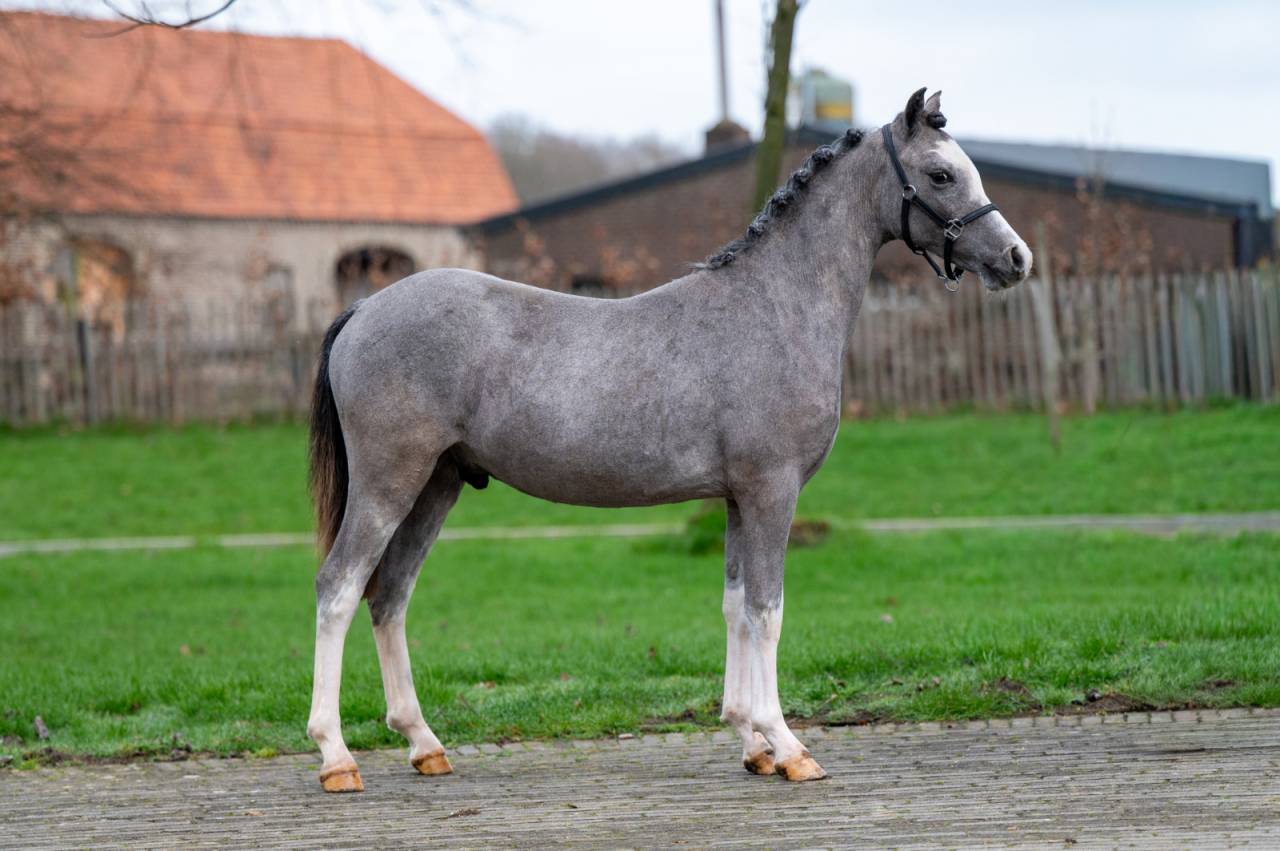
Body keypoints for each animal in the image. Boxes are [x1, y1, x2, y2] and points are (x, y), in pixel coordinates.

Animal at [304, 88, 1032, 792]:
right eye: (941, 173)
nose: (1016, 258)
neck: (776, 306)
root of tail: (364, 308)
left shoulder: (737, 498)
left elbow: (736, 606)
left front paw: (751, 741)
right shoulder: (771, 491)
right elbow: (767, 609)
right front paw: (789, 745)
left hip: (437, 485)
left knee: (390, 596)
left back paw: (424, 744)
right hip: (389, 483)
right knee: (339, 589)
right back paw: (337, 757)